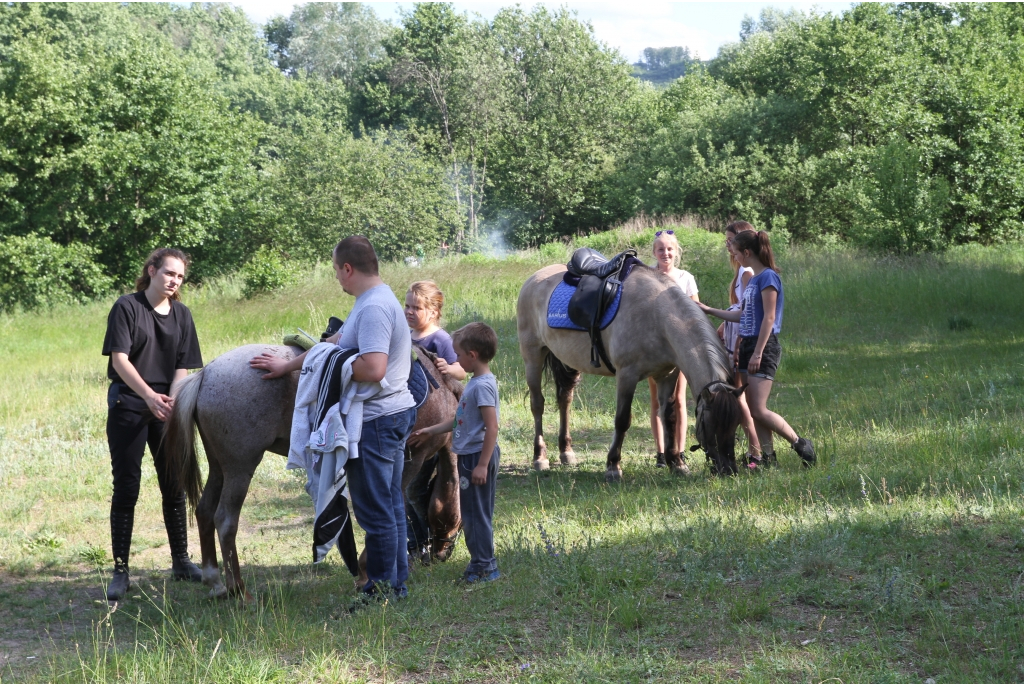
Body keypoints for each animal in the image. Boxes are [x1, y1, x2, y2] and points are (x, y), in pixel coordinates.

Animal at [163, 344, 460, 593]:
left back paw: (215, 582)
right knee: (225, 520)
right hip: (240, 469)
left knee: (204, 512)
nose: (441, 553)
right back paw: (238, 590)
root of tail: (206, 374)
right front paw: (371, 571)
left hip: (219, 467)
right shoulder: (410, 459)